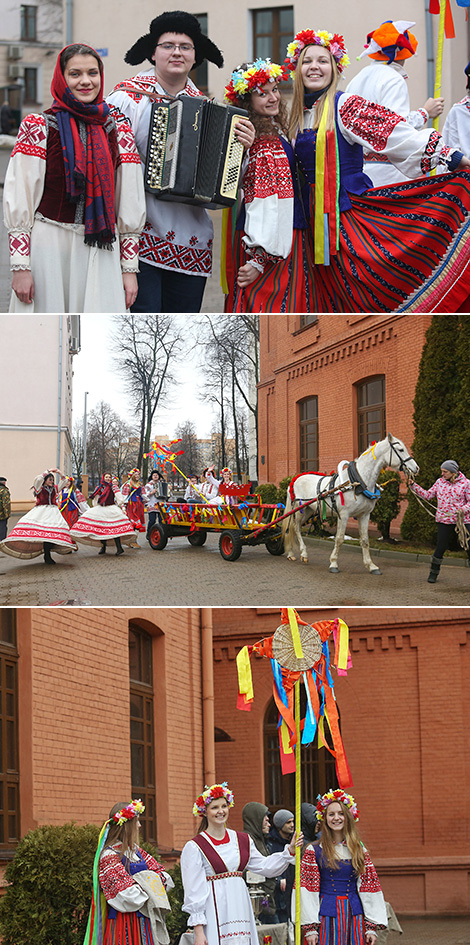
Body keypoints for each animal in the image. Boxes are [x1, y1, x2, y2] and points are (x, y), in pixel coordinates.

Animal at [280, 432, 420, 572]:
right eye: (401, 450)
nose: (416, 468)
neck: (357, 482)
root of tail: (295, 479)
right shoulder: (344, 515)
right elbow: (339, 539)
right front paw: (333, 563)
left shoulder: (364, 515)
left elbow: (365, 540)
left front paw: (371, 565)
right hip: (299, 510)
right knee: (295, 528)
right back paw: (301, 553)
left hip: (308, 510)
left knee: (293, 528)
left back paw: (293, 553)